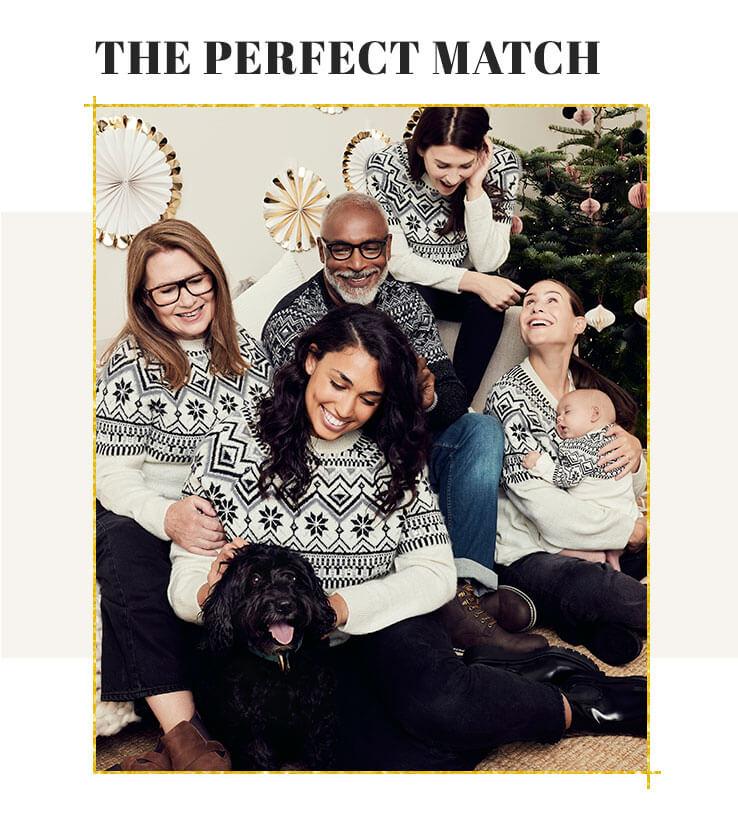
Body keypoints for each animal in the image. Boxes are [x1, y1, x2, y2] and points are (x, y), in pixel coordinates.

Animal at [194, 544, 334, 768]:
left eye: (293, 577)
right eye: (255, 579)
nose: (285, 604)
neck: (280, 662)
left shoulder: (319, 721)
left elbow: (320, 755)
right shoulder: (251, 731)